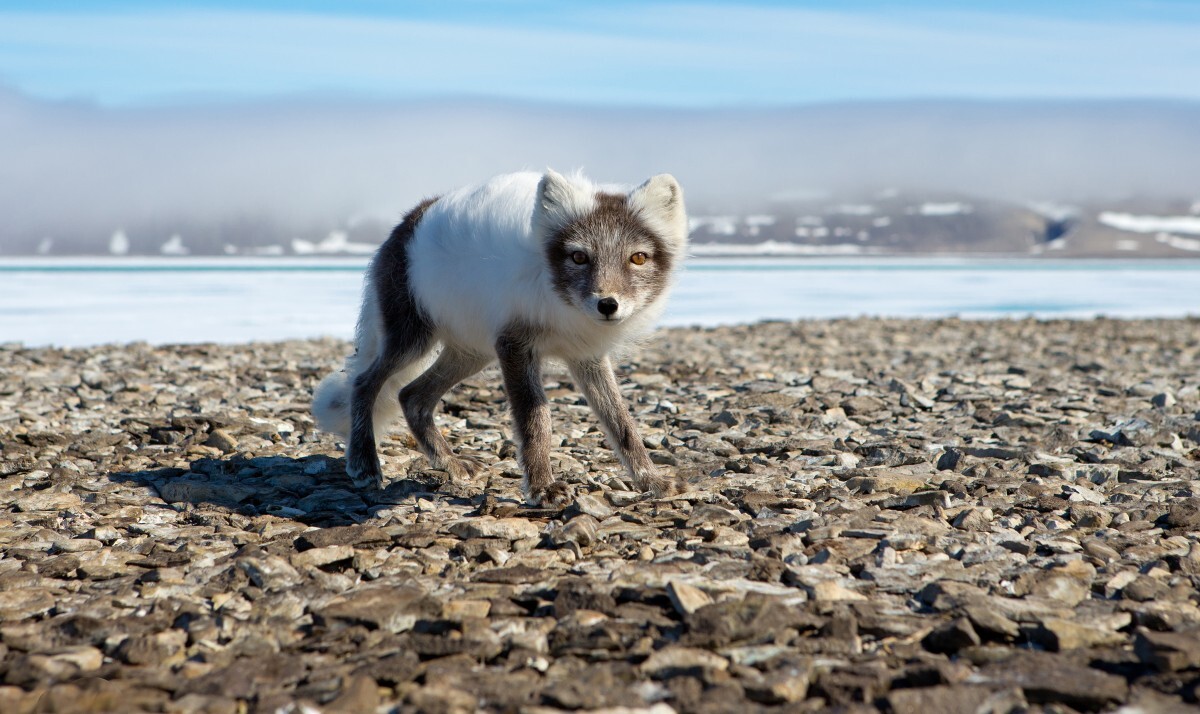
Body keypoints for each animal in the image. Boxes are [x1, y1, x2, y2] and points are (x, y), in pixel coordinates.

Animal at [309, 171, 691, 508]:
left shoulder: (587, 357)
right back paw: (364, 464)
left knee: (411, 396)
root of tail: (407, 222)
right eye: (579, 257)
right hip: (411, 340)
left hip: (471, 353)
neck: (561, 300)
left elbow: (622, 424)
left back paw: (450, 464)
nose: (607, 305)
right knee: (364, 382)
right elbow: (536, 421)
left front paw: (652, 482)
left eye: (637, 257)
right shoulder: (514, 346)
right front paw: (542, 489)